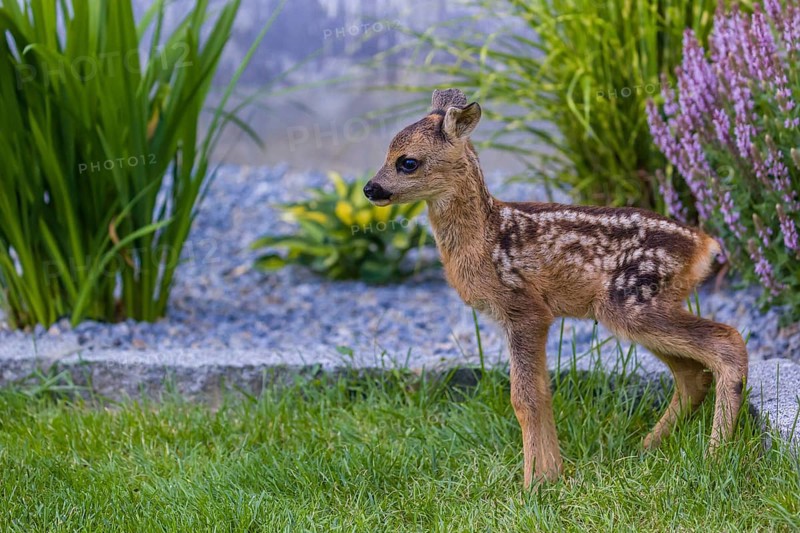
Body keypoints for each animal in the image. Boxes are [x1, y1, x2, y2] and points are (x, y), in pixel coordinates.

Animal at [363, 88, 749, 489]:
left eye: (408, 162)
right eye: (387, 153)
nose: (370, 188)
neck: (484, 238)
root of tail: (705, 245)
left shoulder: (526, 308)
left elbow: (525, 397)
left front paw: (534, 483)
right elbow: (541, 391)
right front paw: (553, 475)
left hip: (632, 301)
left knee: (728, 342)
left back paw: (714, 455)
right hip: (641, 307)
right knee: (693, 374)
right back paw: (645, 449)